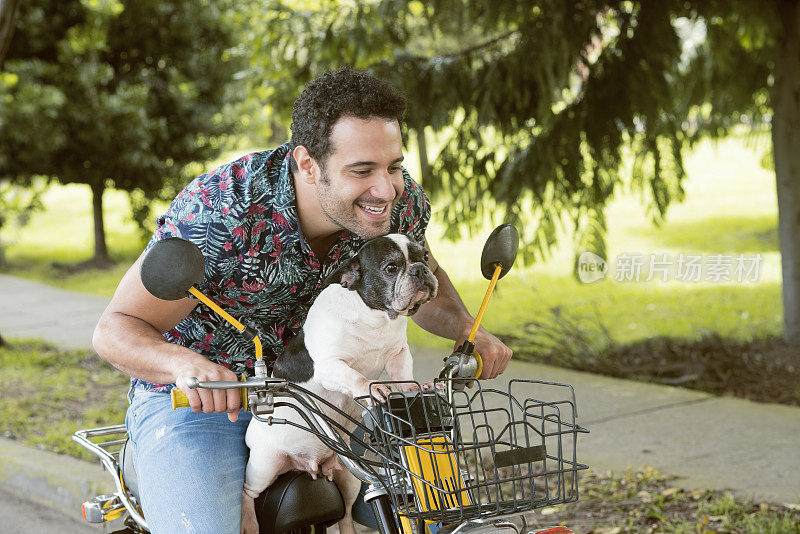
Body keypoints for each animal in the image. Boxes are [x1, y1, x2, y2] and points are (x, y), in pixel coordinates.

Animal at [239, 234, 438, 534]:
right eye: (391, 268)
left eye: (424, 256)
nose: (420, 270)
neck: (375, 317)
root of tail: (308, 467)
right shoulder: (330, 365)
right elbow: (355, 377)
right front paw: (374, 388)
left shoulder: (399, 353)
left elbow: (403, 373)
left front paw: (411, 390)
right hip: (265, 465)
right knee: (249, 492)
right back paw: (249, 520)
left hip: (351, 477)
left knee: (345, 513)